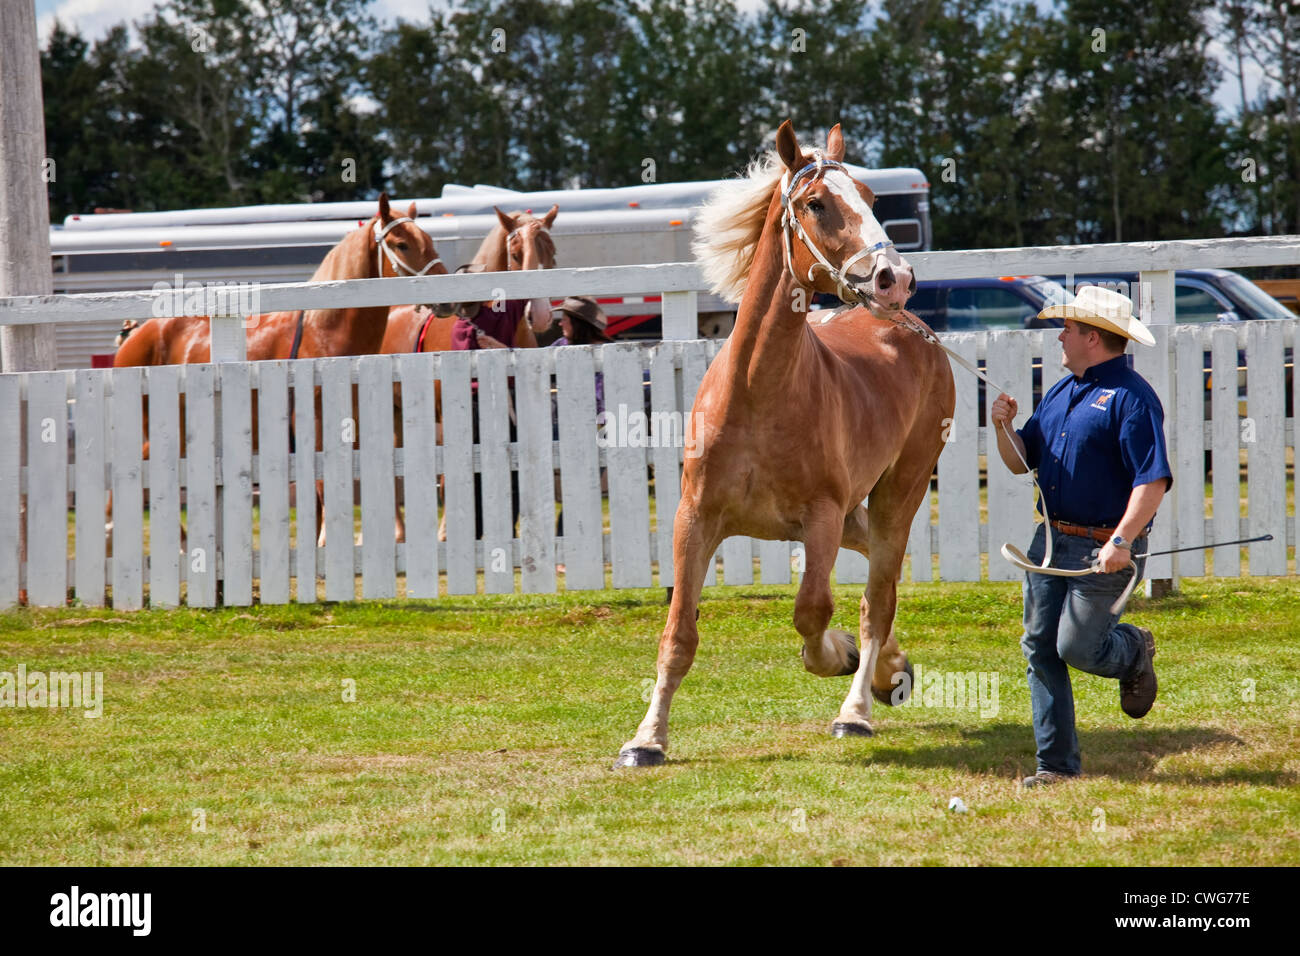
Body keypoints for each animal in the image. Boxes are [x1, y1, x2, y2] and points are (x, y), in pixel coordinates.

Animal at [615, 121, 956, 767]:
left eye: (871, 199)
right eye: (816, 203)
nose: (894, 279)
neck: (758, 395)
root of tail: (915, 329)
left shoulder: (818, 518)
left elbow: (813, 611)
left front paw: (838, 655)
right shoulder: (694, 519)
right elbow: (678, 634)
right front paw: (646, 740)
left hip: (899, 491)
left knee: (879, 595)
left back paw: (858, 706)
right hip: (856, 512)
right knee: (873, 562)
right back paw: (890, 670)